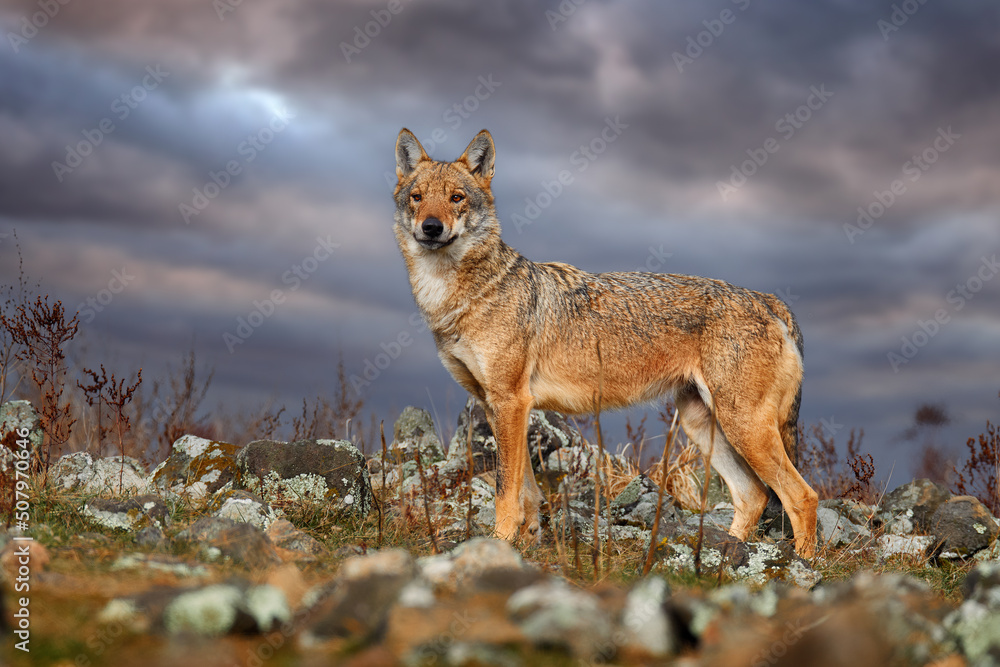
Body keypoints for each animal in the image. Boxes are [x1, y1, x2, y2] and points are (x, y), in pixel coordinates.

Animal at [394, 128, 816, 556]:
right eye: (418, 197)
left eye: (456, 198)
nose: (431, 227)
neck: (455, 296)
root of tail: (767, 299)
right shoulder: (501, 406)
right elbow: (527, 493)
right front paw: (526, 546)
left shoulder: (510, 402)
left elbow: (506, 491)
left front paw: (498, 544)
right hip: (705, 427)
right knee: (754, 495)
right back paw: (727, 556)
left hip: (742, 427)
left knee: (802, 495)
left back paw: (803, 563)